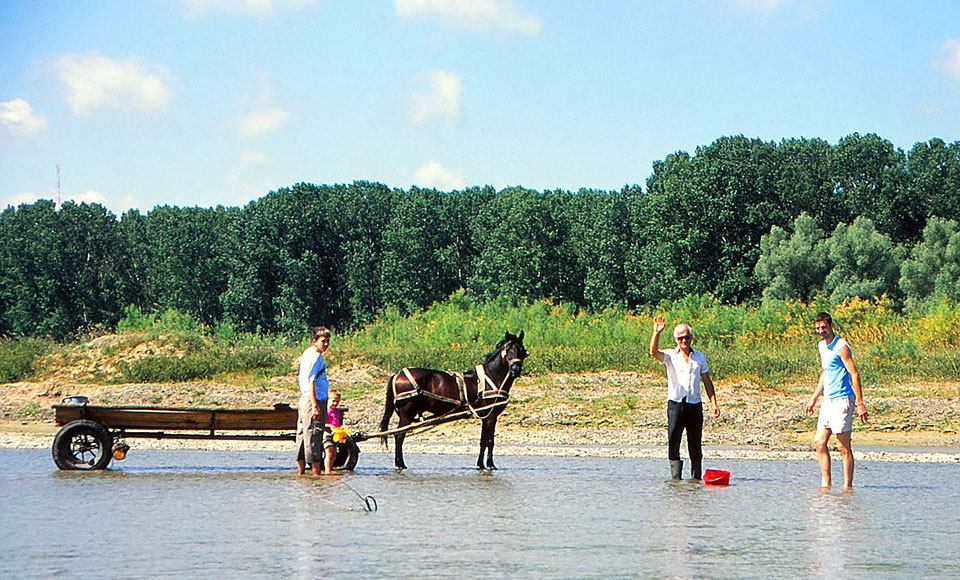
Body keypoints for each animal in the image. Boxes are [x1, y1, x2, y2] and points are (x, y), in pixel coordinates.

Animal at [376, 330, 528, 472]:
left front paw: (480, 465)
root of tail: (397, 374)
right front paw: (491, 465)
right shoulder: (491, 415)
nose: (515, 370)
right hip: (407, 414)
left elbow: (483, 441)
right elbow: (490, 441)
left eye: (521, 350)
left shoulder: (486, 416)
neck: (491, 377)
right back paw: (401, 464)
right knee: (399, 436)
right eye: (508, 350)